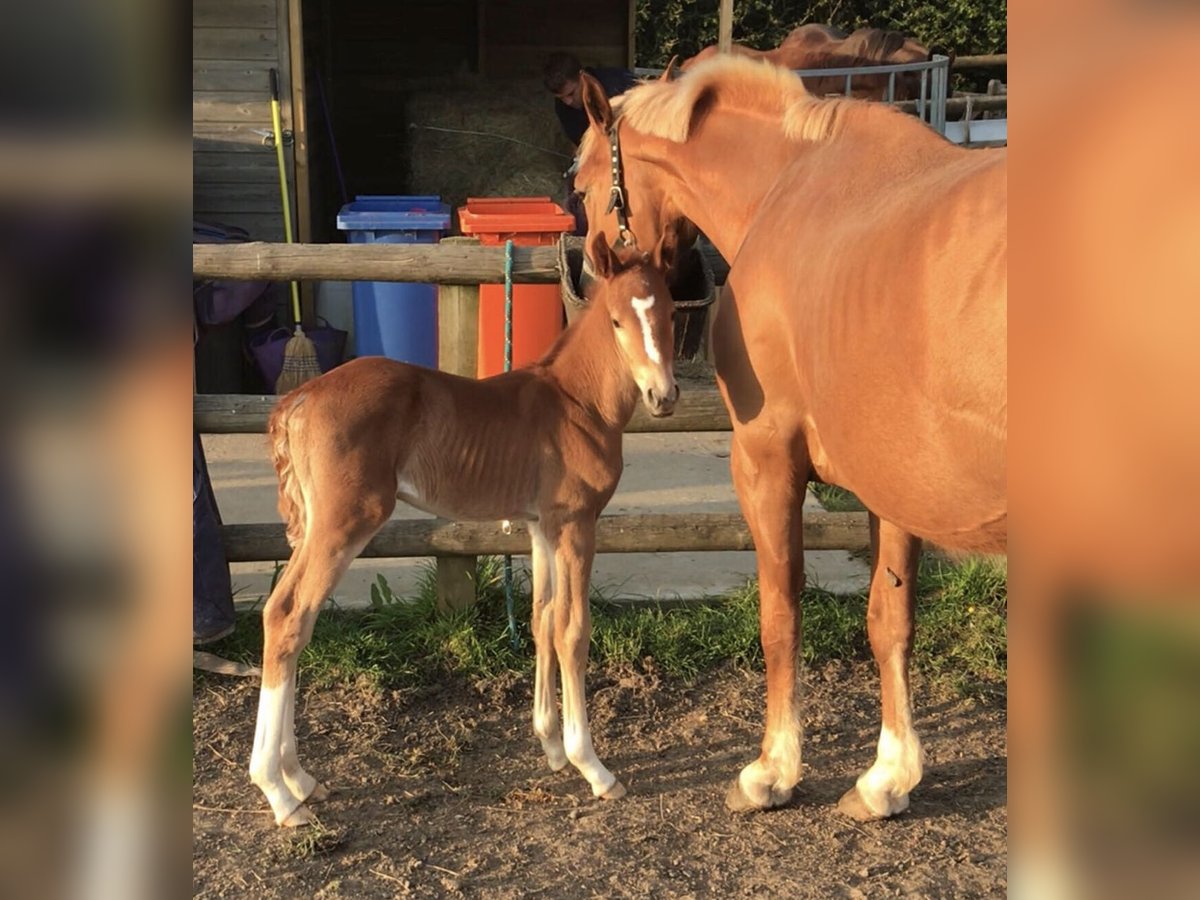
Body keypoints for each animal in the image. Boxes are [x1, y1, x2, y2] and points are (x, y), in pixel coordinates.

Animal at [248, 236, 681, 830]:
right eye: (616, 320)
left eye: (670, 312)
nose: (664, 396)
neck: (577, 404)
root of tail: (297, 399)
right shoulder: (576, 523)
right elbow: (573, 629)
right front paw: (591, 765)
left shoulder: (541, 526)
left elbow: (543, 619)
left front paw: (550, 747)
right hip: (345, 523)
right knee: (289, 615)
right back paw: (278, 793)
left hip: (317, 526)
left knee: (293, 619)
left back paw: (300, 778)